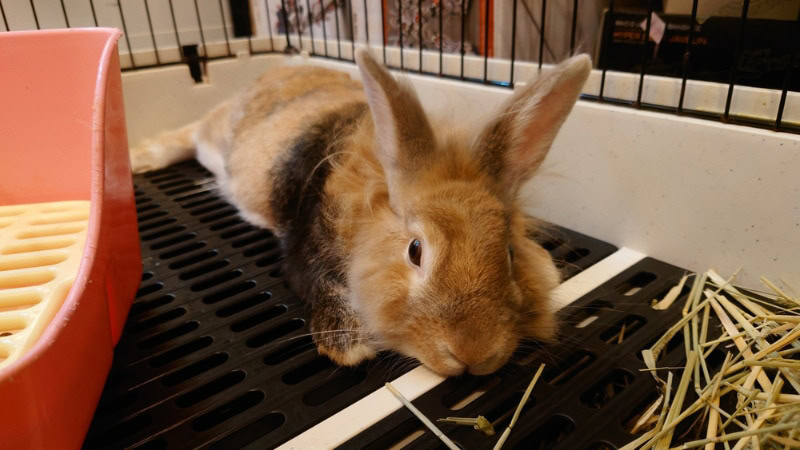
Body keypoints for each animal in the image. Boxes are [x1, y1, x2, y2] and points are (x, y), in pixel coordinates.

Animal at [130, 50, 592, 376]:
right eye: (415, 251)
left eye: (510, 254)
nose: (472, 351)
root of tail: (268, 75)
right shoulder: (307, 246)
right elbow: (322, 282)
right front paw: (349, 344)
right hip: (215, 138)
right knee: (187, 133)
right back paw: (141, 159)